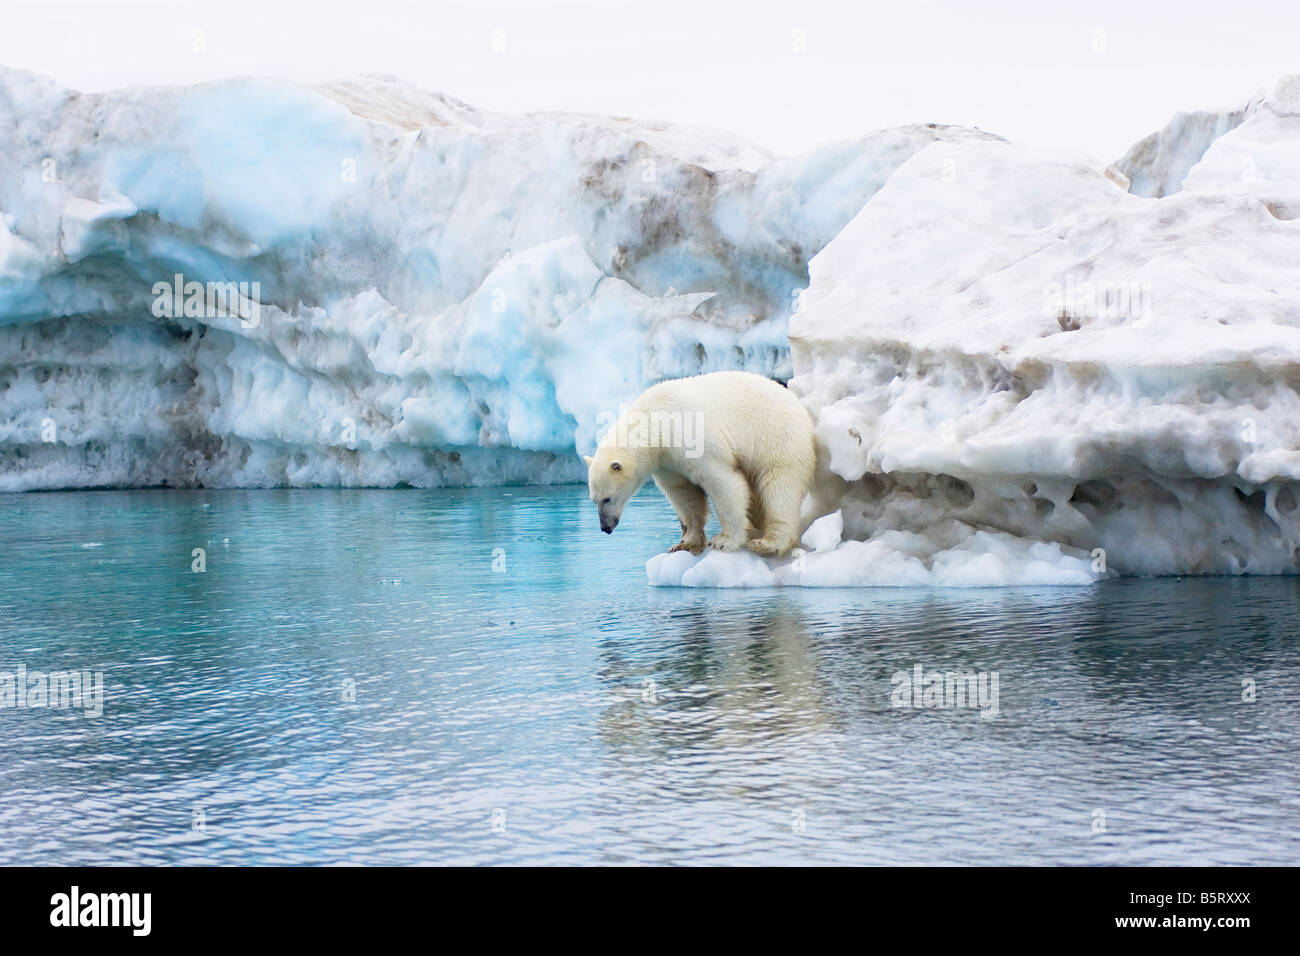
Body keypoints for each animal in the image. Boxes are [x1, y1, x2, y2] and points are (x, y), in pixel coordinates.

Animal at [584, 370, 816, 556]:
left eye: (607, 498)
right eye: (593, 500)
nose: (605, 527)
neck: (656, 422)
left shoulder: (694, 440)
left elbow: (723, 483)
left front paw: (724, 541)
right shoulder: (667, 461)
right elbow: (684, 494)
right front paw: (684, 544)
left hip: (777, 437)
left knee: (779, 487)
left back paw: (768, 543)